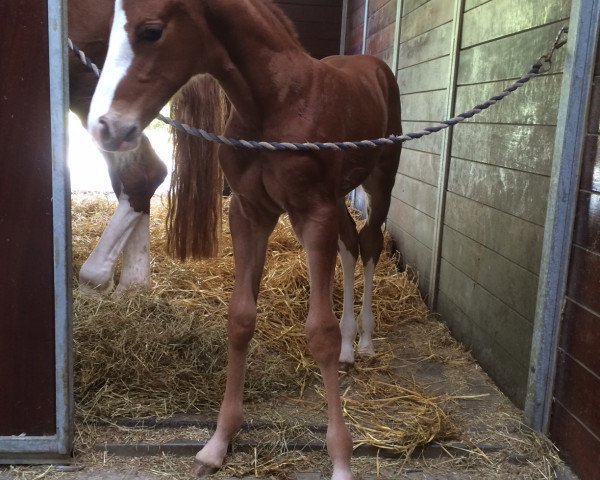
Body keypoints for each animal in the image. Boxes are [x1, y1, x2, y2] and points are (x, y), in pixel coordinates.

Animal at [86, 1, 400, 478]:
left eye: (151, 31)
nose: (105, 127)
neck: (274, 103)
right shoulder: (249, 212)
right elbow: (240, 319)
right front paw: (218, 442)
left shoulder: (313, 212)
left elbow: (319, 332)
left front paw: (342, 460)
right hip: (338, 199)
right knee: (349, 247)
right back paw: (350, 347)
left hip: (381, 180)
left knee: (368, 245)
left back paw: (363, 341)